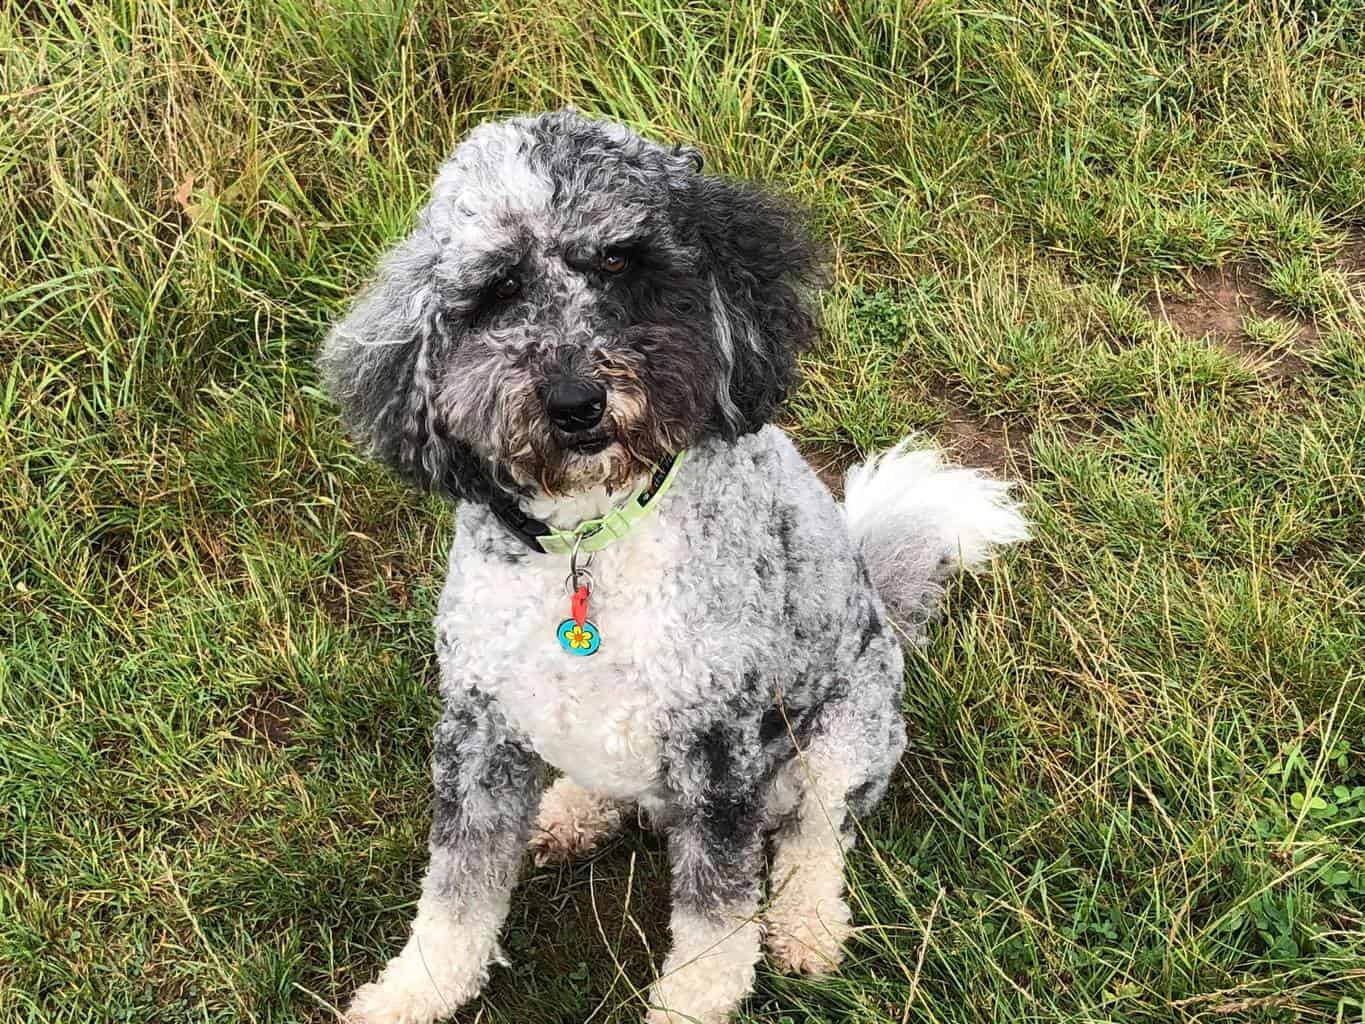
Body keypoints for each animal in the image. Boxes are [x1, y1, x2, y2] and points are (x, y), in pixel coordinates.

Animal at [316, 110, 1026, 1024]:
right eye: (499, 288)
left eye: (621, 261)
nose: (575, 403)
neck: (592, 539)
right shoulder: (477, 728)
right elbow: (455, 893)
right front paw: (414, 992)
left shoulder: (718, 750)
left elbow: (716, 921)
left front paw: (692, 1002)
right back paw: (571, 809)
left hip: (842, 741)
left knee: (816, 840)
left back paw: (806, 928)